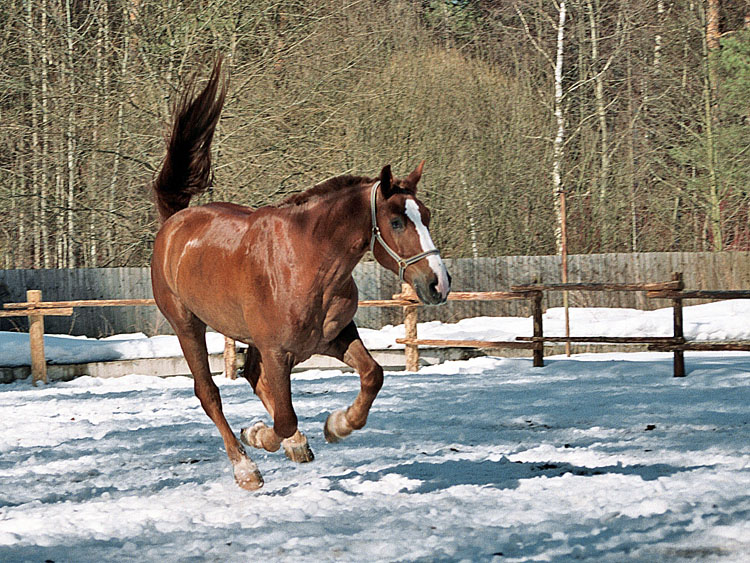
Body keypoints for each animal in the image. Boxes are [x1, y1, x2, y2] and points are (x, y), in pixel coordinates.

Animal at [150, 58, 450, 490]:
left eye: (426, 216)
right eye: (396, 222)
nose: (438, 283)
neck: (307, 262)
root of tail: (174, 223)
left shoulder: (333, 336)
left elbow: (373, 375)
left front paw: (337, 425)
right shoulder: (278, 351)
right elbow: (283, 417)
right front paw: (261, 435)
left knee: (253, 377)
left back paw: (295, 445)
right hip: (187, 324)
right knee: (209, 393)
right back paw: (246, 467)